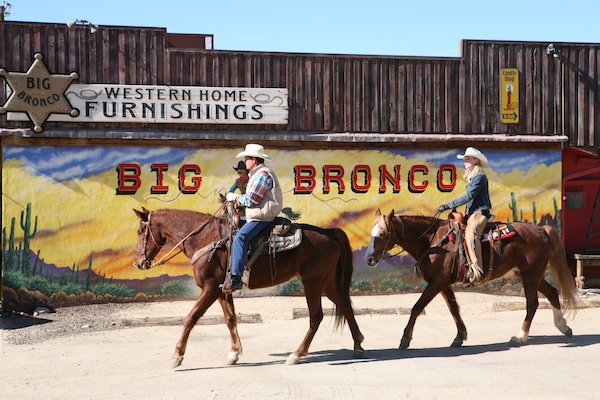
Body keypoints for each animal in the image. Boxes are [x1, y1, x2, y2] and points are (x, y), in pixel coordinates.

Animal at [133, 209, 364, 368]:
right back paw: (358, 346)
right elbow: (230, 319)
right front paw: (234, 353)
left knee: (316, 316)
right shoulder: (221, 289)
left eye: (140, 231)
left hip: (313, 282)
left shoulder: (209, 288)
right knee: (345, 305)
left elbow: (191, 318)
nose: (138, 262)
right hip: (327, 282)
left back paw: (297, 354)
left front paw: (177, 356)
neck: (204, 238)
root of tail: (329, 232)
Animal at [364, 209, 580, 350]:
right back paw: (564, 327)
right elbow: (453, 308)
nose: (369, 259)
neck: (433, 241)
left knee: (533, 303)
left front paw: (405, 340)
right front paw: (460, 336)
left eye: (382, 233)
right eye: (371, 233)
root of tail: (542, 230)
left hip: (530, 276)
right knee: (552, 293)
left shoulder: (437, 282)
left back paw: (520, 336)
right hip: (530, 274)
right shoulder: (443, 283)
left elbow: (417, 307)